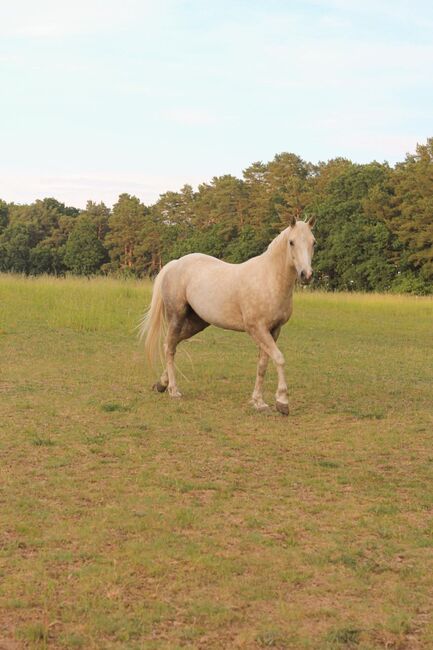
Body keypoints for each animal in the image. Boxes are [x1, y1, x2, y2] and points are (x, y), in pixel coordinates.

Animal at [140, 215, 316, 412]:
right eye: (291, 242)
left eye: (313, 242)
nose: (306, 275)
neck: (269, 279)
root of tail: (175, 264)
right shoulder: (257, 329)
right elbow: (279, 358)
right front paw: (282, 401)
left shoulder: (274, 330)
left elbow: (263, 365)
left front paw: (259, 402)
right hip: (176, 317)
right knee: (169, 347)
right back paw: (173, 390)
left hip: (197, 323)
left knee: (173, 344)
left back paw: (161, 384)